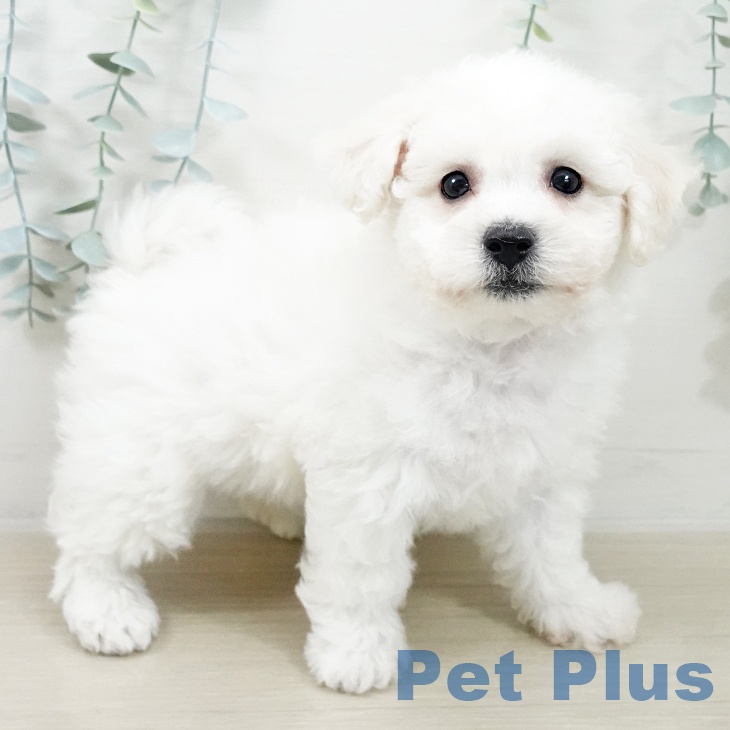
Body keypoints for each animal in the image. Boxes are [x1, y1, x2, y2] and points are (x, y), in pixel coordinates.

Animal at [48, 51, 692, 694]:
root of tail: (143, 260)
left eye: (567, 180)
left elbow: (551, 554)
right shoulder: (370, 481)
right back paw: (106, 610)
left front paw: (578, 610)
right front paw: (356, 653)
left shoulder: (543, 471)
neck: (487, 346)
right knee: (90, 538)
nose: (509, 239)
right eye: (454, 184)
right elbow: (361, 578)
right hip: (138, 458)